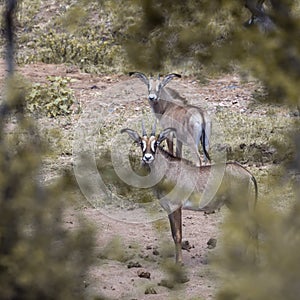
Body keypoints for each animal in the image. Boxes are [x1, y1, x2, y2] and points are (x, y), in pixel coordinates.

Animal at [121, 123, 258, 264]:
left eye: (157, 143)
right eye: (141, 143)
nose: (147, 157)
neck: (167, 170)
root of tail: (248, 174)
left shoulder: (176, 207)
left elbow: (178, 235)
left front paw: (179, 262)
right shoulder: (169, 209)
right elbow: (173, 234)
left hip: (240, 205)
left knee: (252, 229)